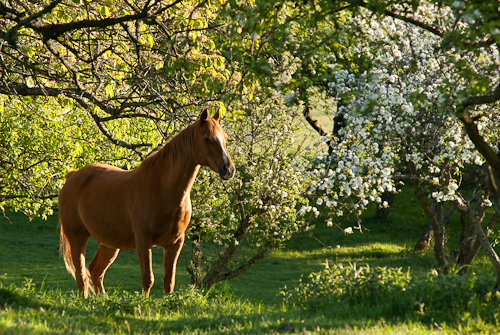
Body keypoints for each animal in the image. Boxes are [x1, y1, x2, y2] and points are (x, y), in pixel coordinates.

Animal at [58, 108, 234, 300]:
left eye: (225, 139)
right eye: (207, 139)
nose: (229, 169)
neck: (161, 189)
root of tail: (72, 175)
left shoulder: (175, 243)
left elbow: (169, 281)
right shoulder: (143, 241)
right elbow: (147, 278)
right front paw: (144, 303)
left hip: (109, 244)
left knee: (95, 271)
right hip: (77, 238)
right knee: (81, 275)